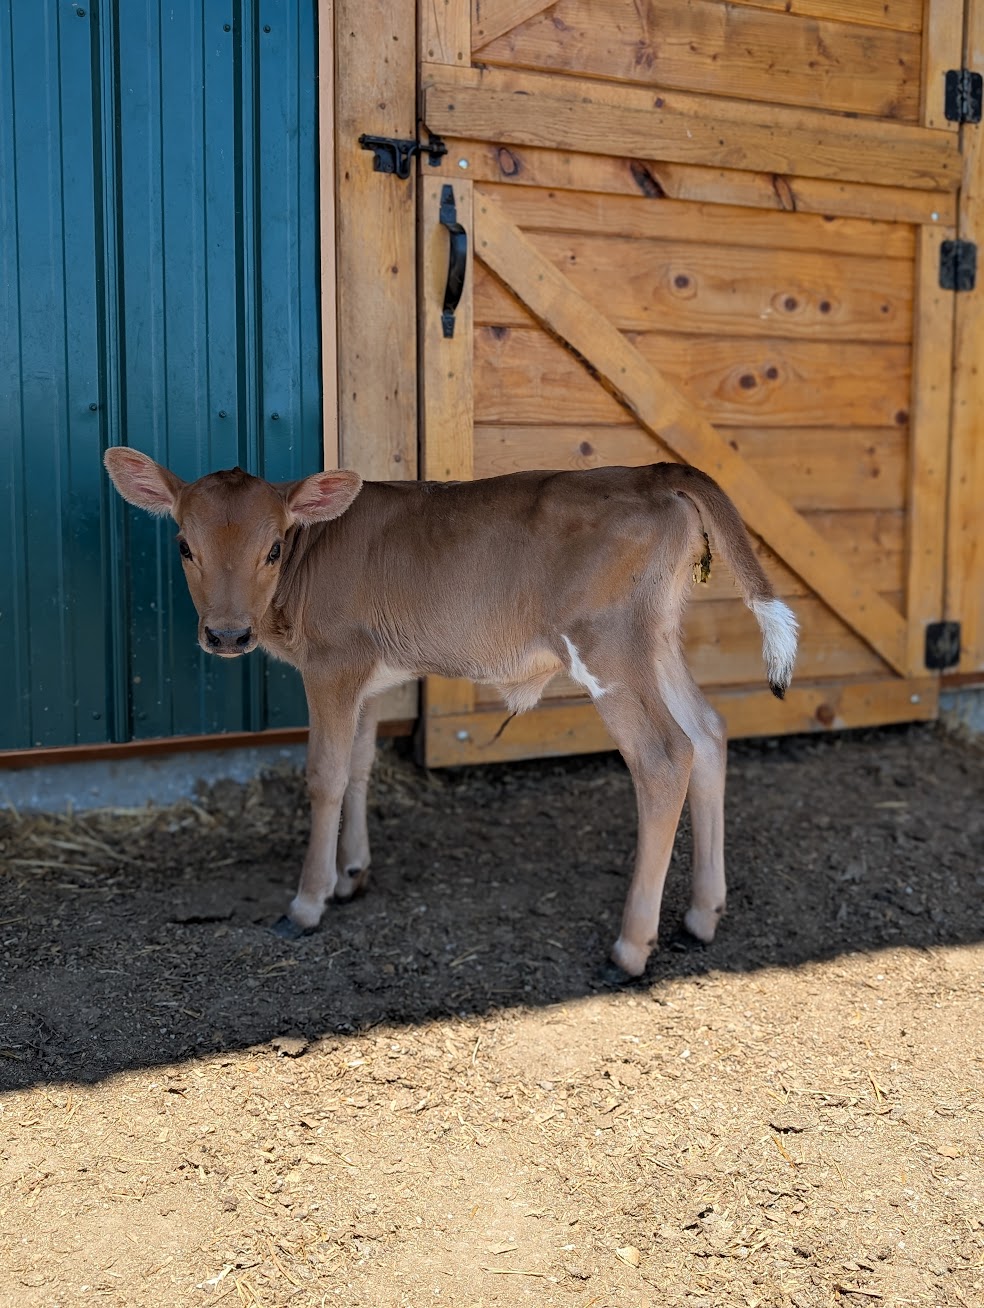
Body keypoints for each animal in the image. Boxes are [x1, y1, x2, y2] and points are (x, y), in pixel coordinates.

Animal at [103, 448, 797, 978]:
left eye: (273, 549)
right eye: (184, 545)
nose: (226, 635)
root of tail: (652, 470)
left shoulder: (332, 663)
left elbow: (325, 777)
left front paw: (307, 902)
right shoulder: (371, 676)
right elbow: (360, 768)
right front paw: (350, 874)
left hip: (610, 647)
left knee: (664, 757)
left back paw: (630, 947)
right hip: (657, 638)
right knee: (707, 733)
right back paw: (702, 915)